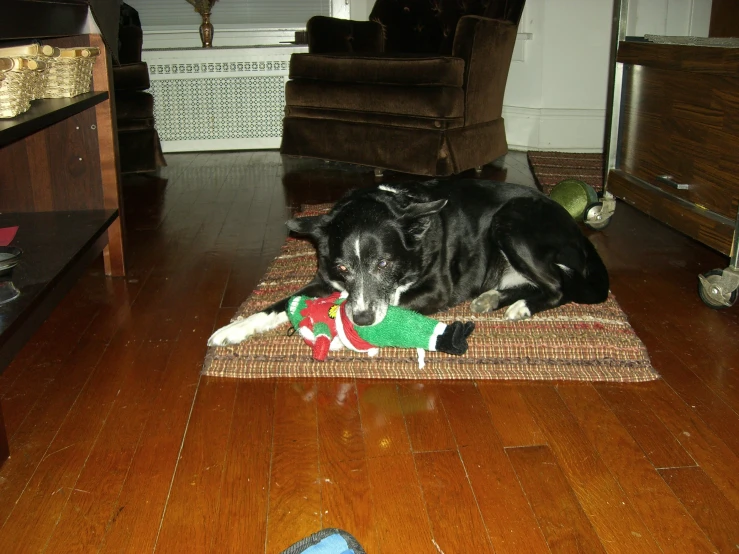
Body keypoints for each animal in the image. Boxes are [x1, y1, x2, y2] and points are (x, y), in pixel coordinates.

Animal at [207, 179, 608, 344]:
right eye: (343, 268)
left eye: (385, 265)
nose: (363, 318)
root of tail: (577, 231)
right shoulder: (325, 279)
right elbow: (279, 303)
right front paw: (233, 328)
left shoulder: (437, 289)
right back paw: (493, 298)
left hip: (512, 220)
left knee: (558, 287)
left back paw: (521, 307)